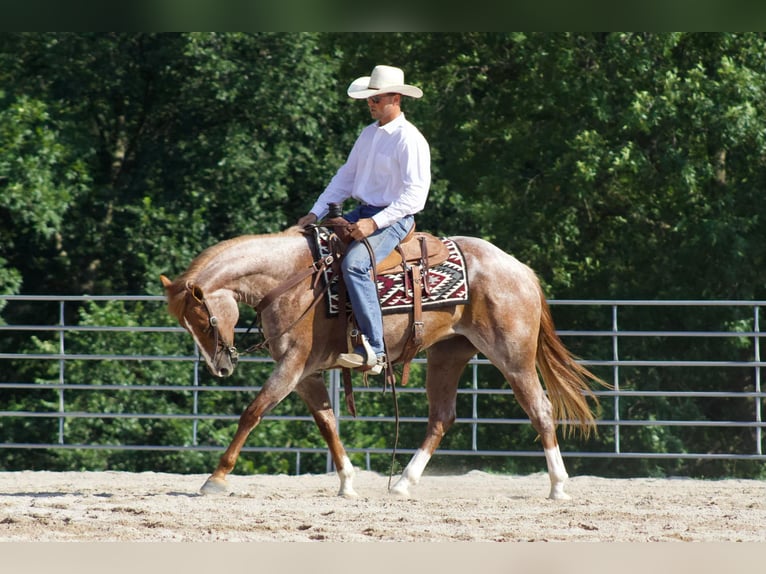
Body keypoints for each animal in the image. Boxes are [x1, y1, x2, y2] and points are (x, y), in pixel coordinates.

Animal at [160, 226, 606, 500]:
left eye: (203, 319)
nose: (220, 367)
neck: (291, 279)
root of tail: (521, 270)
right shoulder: (305, 374)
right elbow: (327, 422)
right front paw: (347, 482)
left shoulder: (291, 365)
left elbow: (252, 413)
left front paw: (215, 479)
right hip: (447, 355)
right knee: (441, 417)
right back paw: (403, 483)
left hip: (512, 357)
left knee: (540, 409)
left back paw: (558, 486)